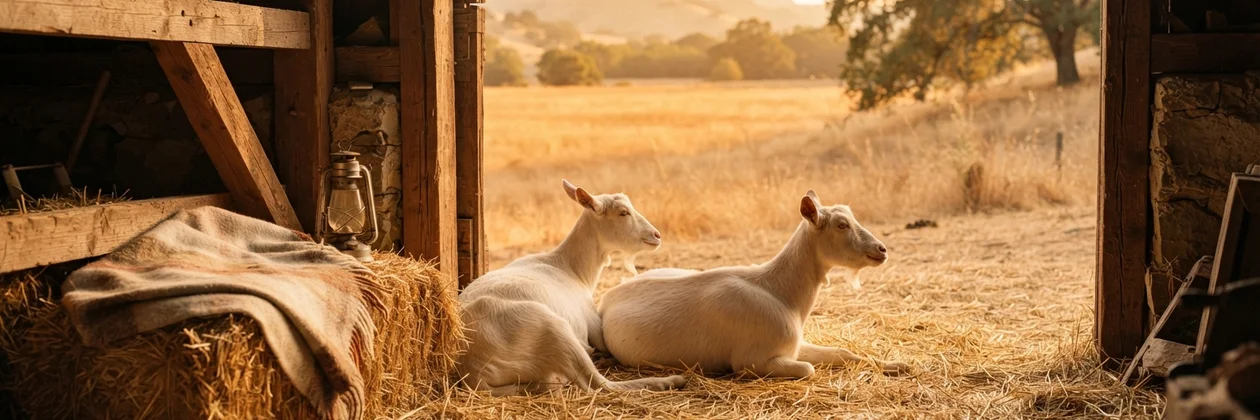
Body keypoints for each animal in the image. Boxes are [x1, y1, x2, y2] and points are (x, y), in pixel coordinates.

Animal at [456, 180, 688, 395]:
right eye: (623, 213)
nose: (657, 235)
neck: (571, 269)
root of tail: (474, 371)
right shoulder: (594, 324)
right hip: (553, 330)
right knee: (598, 383)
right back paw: (671, 381)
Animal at [598, 190, 910, 378]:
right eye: (842, 225)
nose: (882, 250)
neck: (781, 292)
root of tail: (608, 297)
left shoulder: (794, 345)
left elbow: (842, 352)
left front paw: (898, 364)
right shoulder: (754, 360)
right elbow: (808, 369)